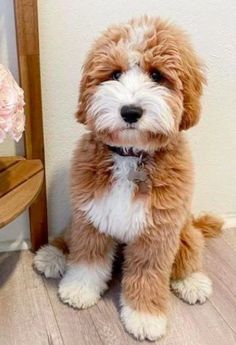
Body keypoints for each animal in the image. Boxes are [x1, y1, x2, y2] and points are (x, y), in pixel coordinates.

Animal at [33, 16, 223, 342]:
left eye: (157, 75)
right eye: (115, 74)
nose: (130, 111)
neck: (130, 155)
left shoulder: (156, 233)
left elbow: (147, 276)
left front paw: (145, 317)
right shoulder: (91, 217)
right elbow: (88, 258)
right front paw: (79, 289)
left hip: (183, 230)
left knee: (191, 249)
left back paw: (192, 282)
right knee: (68, 237)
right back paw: (53, 255)